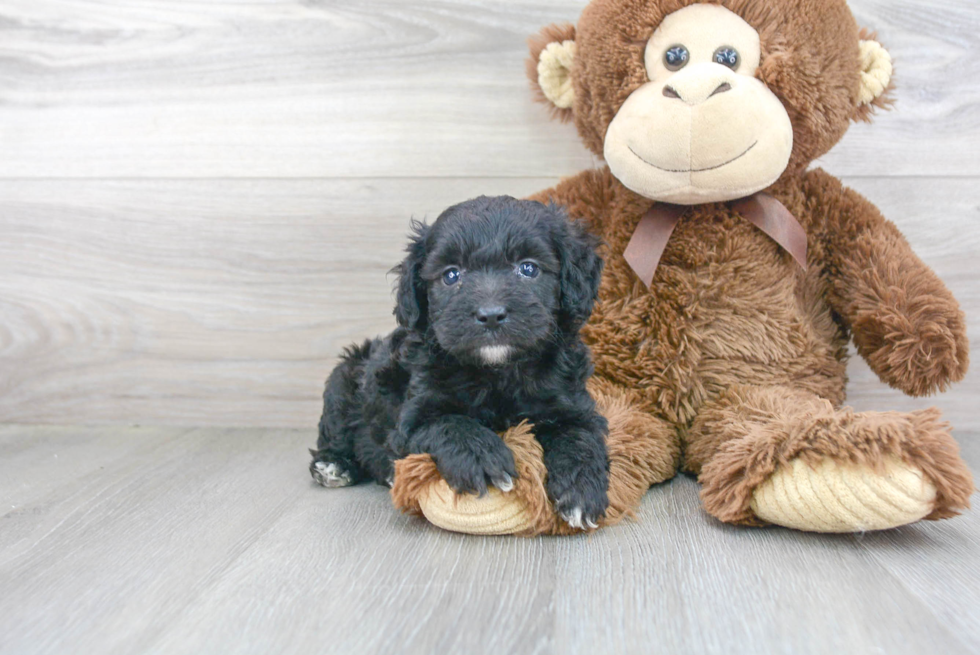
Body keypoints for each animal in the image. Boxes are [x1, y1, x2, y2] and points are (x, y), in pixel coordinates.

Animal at [310, 195, 608, 528]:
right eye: (451, 275)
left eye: (528, 268)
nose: (490, 314)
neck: (497, 372)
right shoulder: (412, 418)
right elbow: (448, 423)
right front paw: (482, 457)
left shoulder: (571, 405)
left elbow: (580, 436)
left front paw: (582, 490)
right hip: (344, 380)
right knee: (334, 432)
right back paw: (335, 465)